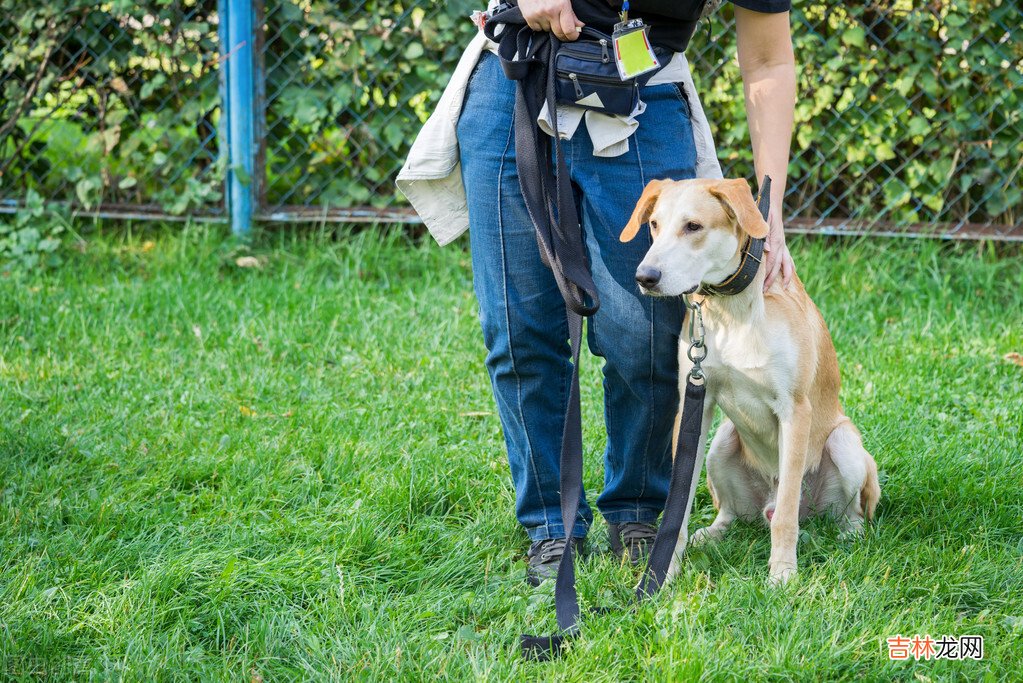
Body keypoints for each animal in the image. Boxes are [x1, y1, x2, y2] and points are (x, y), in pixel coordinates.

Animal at [617, 178, 883, 584]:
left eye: (693, 226)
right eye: (654, 225)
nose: (645, 277)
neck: (732, 311)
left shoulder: (795, 410)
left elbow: (787, 516)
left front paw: (783, 576)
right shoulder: (695, 404)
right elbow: (678, 505)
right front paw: (663, 574)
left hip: (844, 445)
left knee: (841, 512)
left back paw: (849, 535)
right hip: (721, 444)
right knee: (731, 513)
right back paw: (711, 534)